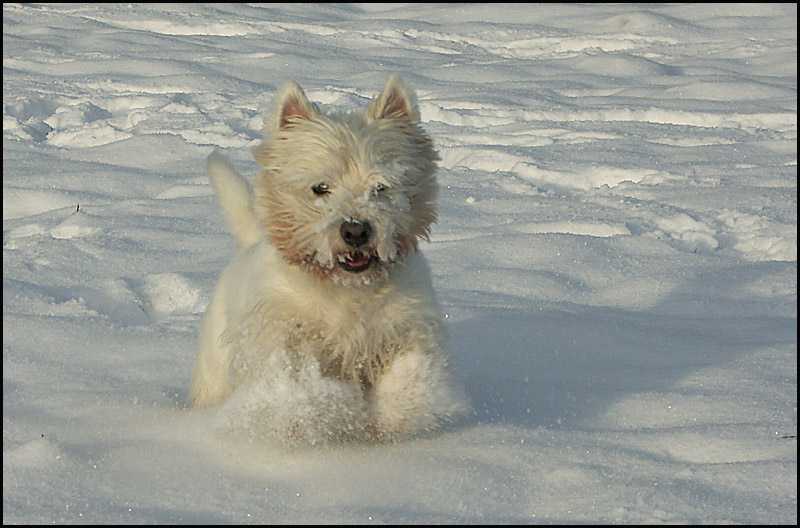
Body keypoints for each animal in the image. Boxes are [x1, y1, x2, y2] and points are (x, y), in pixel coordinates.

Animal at [190, 76, 466, 444]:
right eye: (320, 188)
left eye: (381, 187)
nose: (356, 230)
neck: (345, 288)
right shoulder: (283, 330)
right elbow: (295, 380)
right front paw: (324, 411)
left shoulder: (405, 322)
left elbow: (409, 373)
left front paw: (389, 419)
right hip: (215, 368)